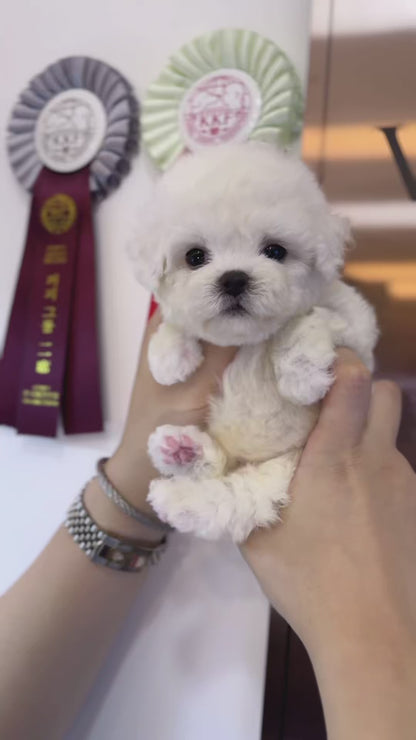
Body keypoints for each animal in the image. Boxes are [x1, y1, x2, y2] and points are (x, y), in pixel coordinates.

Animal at [132, 142, 378, 540]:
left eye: (275, 251)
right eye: (195, 256)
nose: (234, 279)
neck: (248, 341)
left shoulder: (358, 327)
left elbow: (305, 321)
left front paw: (301, 377)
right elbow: (176, 320)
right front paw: (169, 357)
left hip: (282, 470)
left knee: (234, 501)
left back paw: (178, 491)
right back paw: (181, 451)